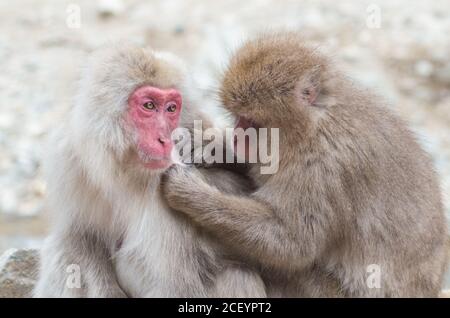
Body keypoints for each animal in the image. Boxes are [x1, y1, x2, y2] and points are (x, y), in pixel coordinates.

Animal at [36, 44, 268, 298]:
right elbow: (79, 238)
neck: (126, 170)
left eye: (171, 108)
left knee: (237, 274)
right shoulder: (69, 160)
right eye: (149, 106)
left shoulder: (170, 190)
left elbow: (178, 286)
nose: (165, 139)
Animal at [163, 33, 450, 296]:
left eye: (251, 122)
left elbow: (292, 245)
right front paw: (209, 147)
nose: (236, 136)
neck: (313, 128)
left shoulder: (322, 170)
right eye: (238, 118)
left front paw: (190, 193)